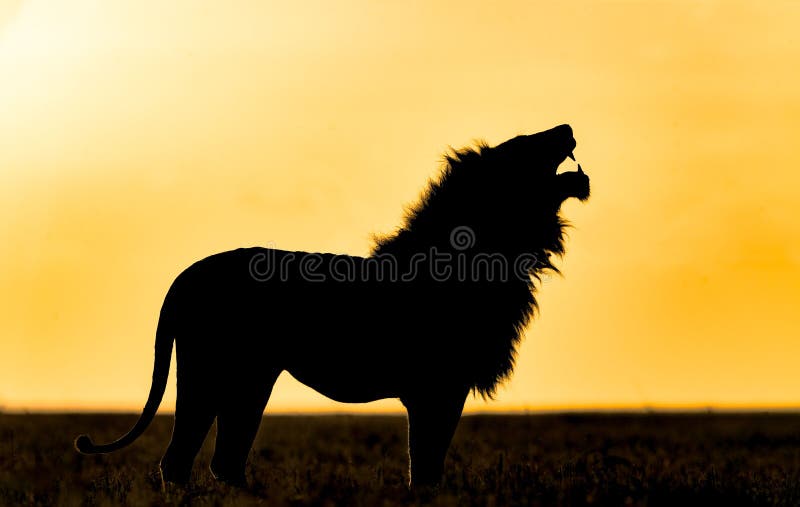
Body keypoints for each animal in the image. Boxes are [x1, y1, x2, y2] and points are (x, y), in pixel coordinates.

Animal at [75, 124, 590, 490]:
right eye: (525, 145)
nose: (566, 127)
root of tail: (185, 276)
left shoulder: (442, 387)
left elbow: (426, 465)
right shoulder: (437, 386)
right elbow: (425, 467)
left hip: (249, 379)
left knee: (224, 461)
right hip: (212, 372)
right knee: (180, 461)